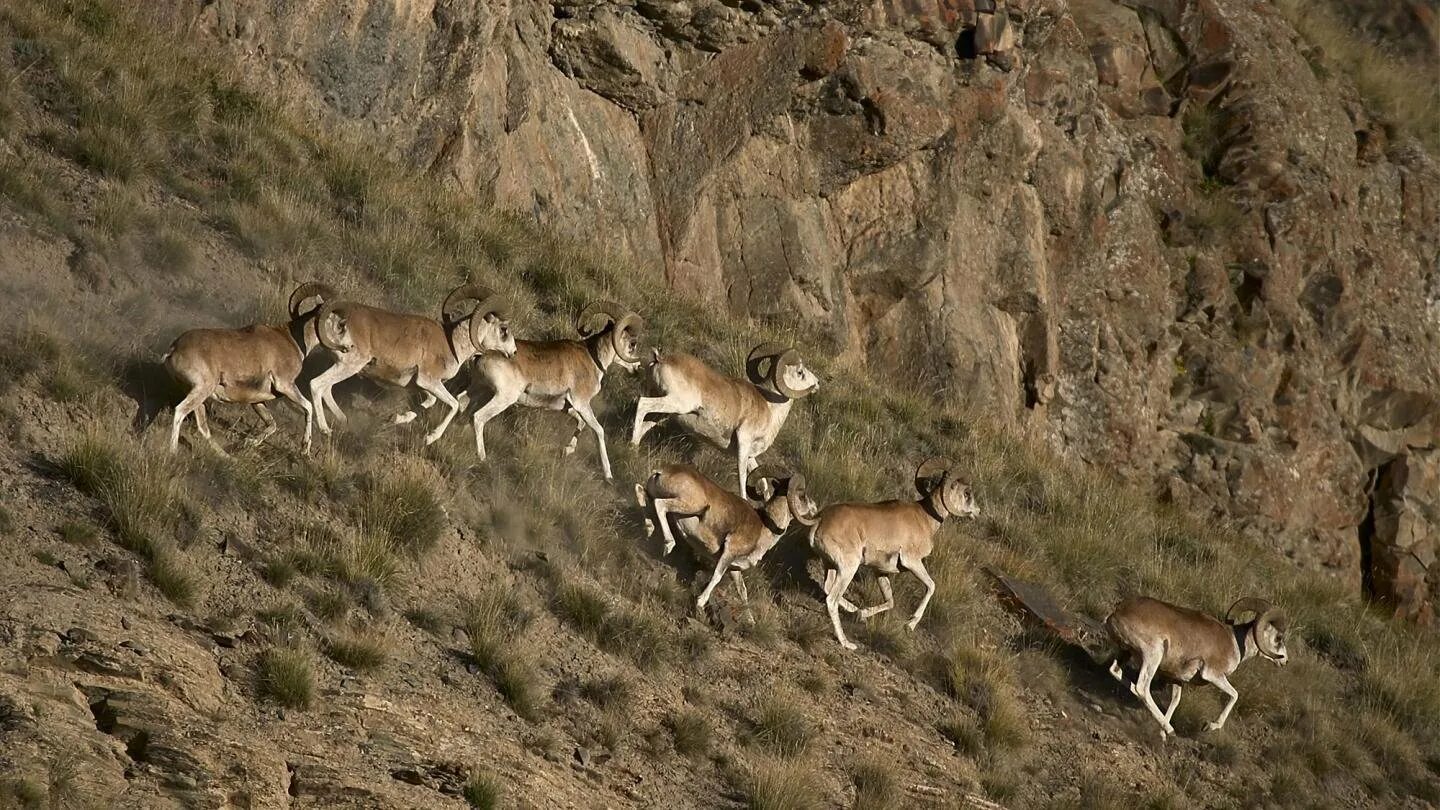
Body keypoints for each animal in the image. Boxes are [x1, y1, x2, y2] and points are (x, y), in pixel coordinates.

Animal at [308, 283, 512, 443]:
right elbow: (454, 405)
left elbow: (429, 402)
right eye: (504, 329)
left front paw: (396, 418)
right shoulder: (429, 381)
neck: (452, 344)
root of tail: (334, 318)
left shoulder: (422, 385)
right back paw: (325, 429)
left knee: (326, 388)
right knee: (316, 385)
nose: (513, 352)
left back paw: (342, 420)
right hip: (349, 365)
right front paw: (430, 438)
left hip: (341, 366)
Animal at [466, 301, 642, 478]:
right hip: (504, 398)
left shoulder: (566, 407)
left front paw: (567, 450)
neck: (593, 359)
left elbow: (581, 423)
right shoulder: (582, 404)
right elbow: (599, 430)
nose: (638, 367)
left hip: (478, 391)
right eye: (632, 344)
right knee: (478, 418)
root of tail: (482, 355)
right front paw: (608, 475)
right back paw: (482, 457)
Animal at [633, 340, 823, 492]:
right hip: (676, 402)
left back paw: (633, 449)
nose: (817, 383)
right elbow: (742, 480)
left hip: (666, 411)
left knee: (645, 423)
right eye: (800, 372)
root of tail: (661, 359)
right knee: (642, 404)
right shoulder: (743, 446)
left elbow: (762, 484)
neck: (769, 406)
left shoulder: (751, 456)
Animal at [636, 464, 817, 608]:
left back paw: (649, 529)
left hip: (655, 493)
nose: (814, 507)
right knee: (660, 505)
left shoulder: (734, 568)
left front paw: (750, 620)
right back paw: (668, 544)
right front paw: (700, 602)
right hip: (692, 505)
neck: (764, 528)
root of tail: (664, 471)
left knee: (640, 491)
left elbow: (742, 592)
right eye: (802, 496)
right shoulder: (728, 553)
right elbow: (716, 577)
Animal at [1105, 590, 1290, 735]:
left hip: (1127, 652)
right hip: (1153, 654)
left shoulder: (1177, 679)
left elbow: (1175, 701)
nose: (1285, 661)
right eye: (1279, 638)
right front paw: (1209, 726)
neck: (1234, 642)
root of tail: (1117, 612)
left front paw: (1161, 735)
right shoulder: (1214, 675)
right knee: (1142, 688)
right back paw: (1171, 730)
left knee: (1116, 671)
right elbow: (1234, 695)